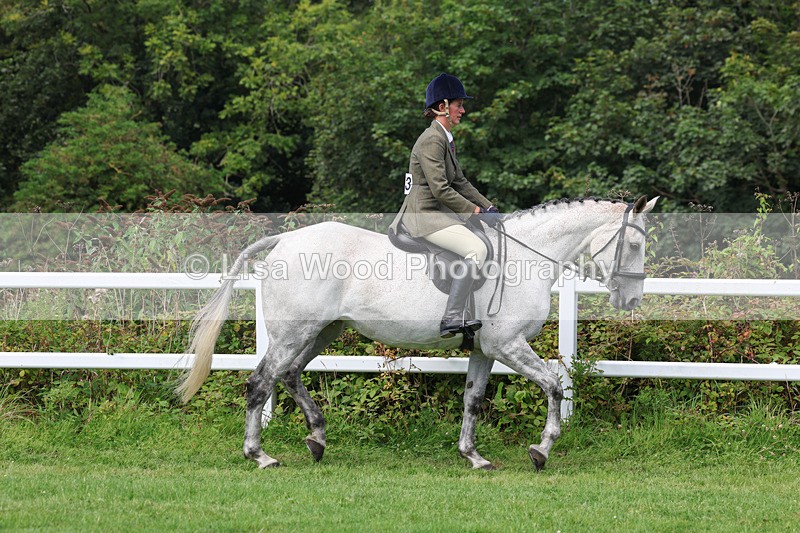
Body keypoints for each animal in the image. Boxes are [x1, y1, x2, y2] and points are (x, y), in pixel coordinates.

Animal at [177, 196, 658, 470]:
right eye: (634, 245)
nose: (632, 300)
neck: (527, 258)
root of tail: (284, 241)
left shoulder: (484, 349)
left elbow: (473, 399)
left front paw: (473, 456)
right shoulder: (507, 344)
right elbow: (554, 385)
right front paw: (542, 450)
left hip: (322, 331)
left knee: (290, 374)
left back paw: (316, 438)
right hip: (295, 332)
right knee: (261, 382)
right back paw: (260, 455)